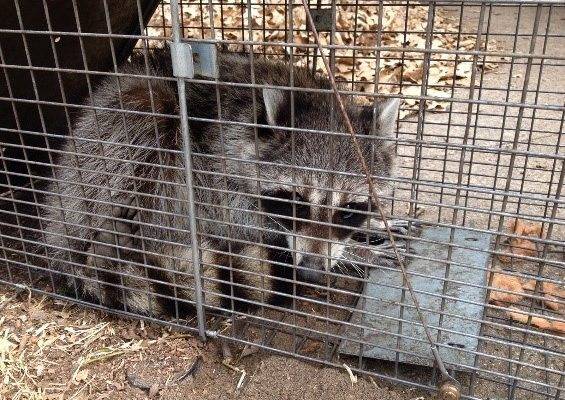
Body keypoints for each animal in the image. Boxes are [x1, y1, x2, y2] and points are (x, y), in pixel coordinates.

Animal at [38, 46, 396, 316]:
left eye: (348, 210)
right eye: (296, 203)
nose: (311, 270)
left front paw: (367, 231)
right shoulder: (214, 156)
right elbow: (229, 217)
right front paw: (357, 253)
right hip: (112, 141)